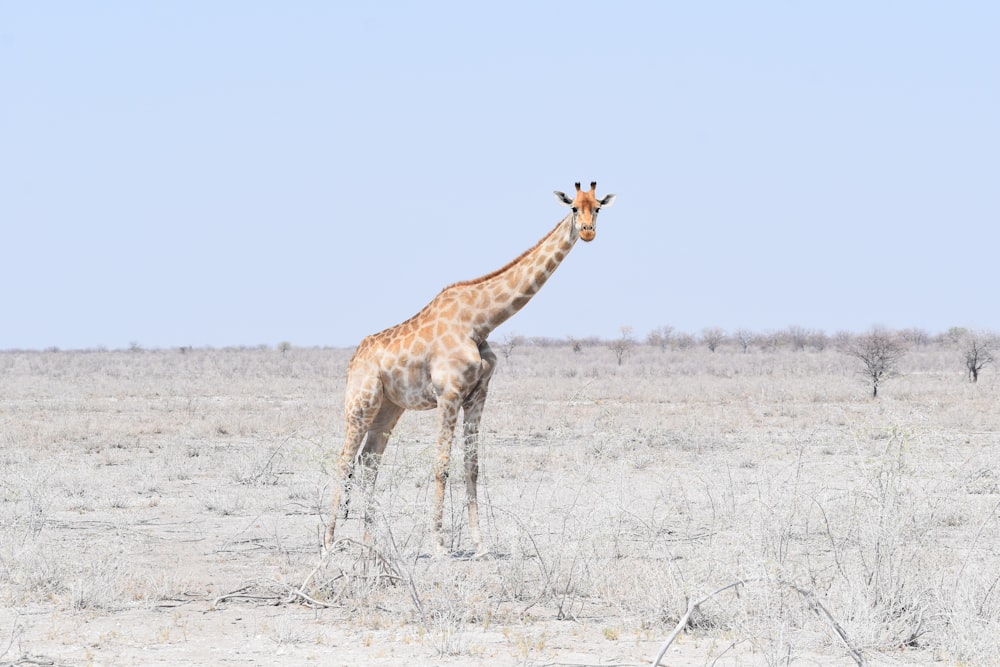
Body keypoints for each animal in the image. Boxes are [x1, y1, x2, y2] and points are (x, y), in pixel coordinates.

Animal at [324, 180, 612, 556]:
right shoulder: (448, 394)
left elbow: (471, 466)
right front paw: (439, 543)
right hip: (361, 402)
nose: (589, 231)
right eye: (574, 208)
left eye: (599, 207)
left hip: (389, 408)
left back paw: (371, 543)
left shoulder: (478, 394)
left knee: (370, 462)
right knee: (344, 460)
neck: (480, 322)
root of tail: (354, 359)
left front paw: (480, 543)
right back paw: (329, 541)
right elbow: (441, 466)